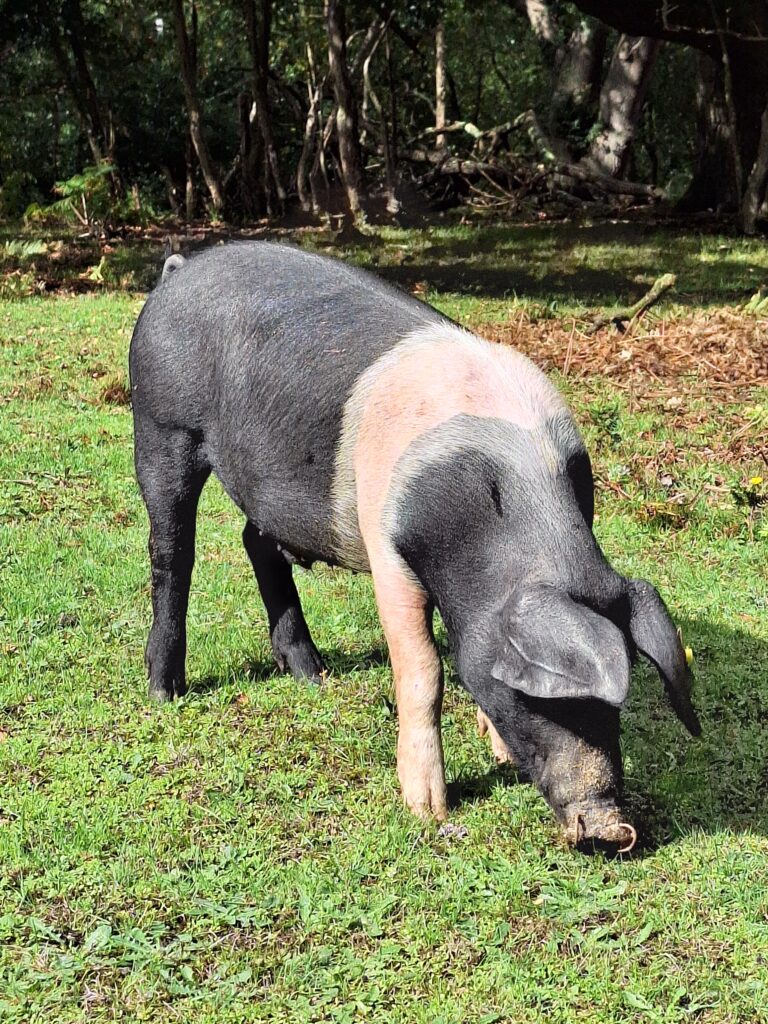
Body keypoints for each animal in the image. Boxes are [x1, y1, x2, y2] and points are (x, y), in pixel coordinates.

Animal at [129, 241, 701, 852]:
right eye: (541, 700)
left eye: (615, 707)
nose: (613, 829)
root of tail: (179, 271)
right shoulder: (387, 550)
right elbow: (424, 668)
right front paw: (427, 810)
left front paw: (497, 752)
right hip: (161, 426)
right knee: (171, 553)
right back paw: (165, 692)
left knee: (254, 541)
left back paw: (313, 675)